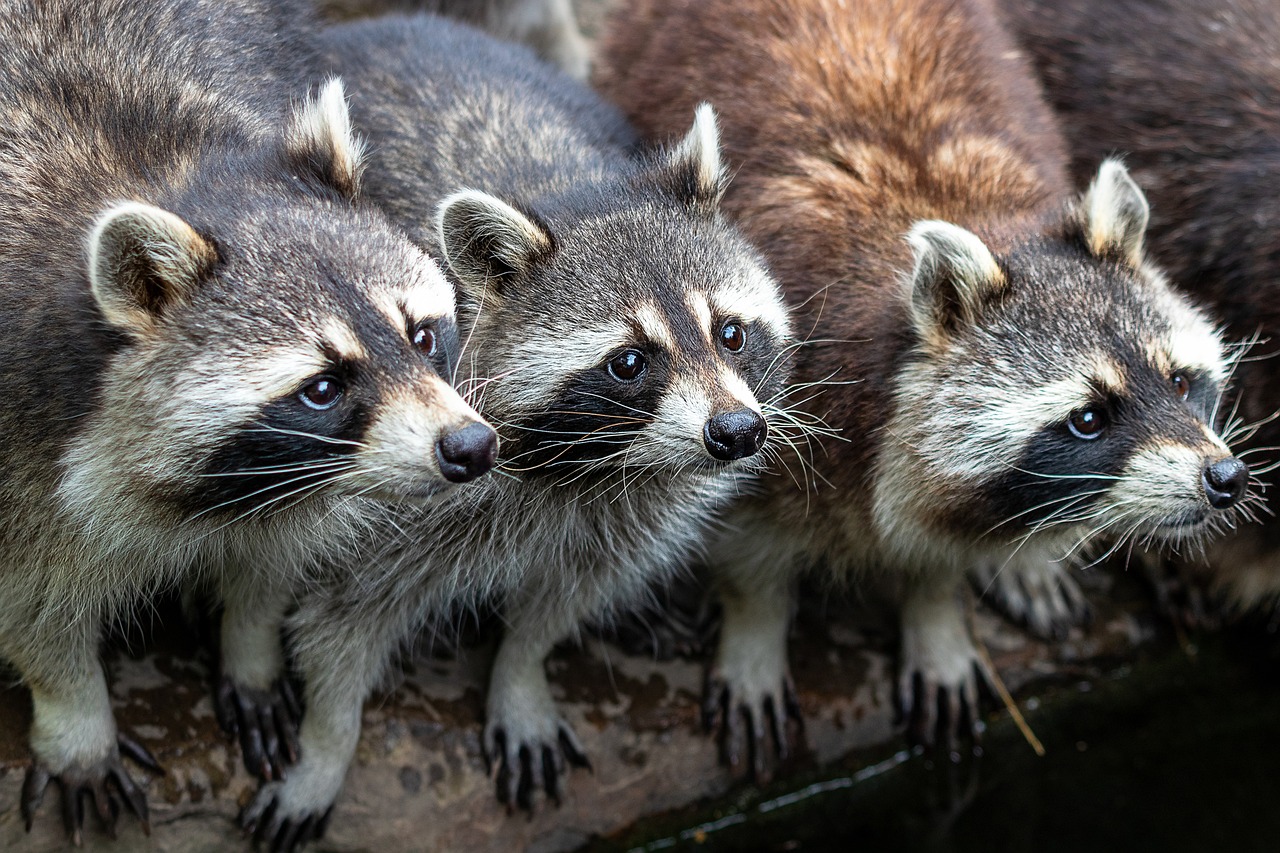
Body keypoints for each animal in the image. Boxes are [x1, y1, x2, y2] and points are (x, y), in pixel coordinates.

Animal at [0, 1, 494, 842]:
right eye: (323, 386)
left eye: (422, 336)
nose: (470, 446)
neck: (165, 172)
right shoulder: (17, 425)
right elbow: (31, 597)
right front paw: (75, 713)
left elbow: (274, 550)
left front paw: (251, 638)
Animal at [230, 15, 792, 846]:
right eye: (630, 361)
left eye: (730, 332)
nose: (736, 431)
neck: (588, 466)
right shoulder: (381, 493)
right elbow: (338, 623)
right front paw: (327, 745)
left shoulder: (626, 507)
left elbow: (563, 599)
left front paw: (520, 671)